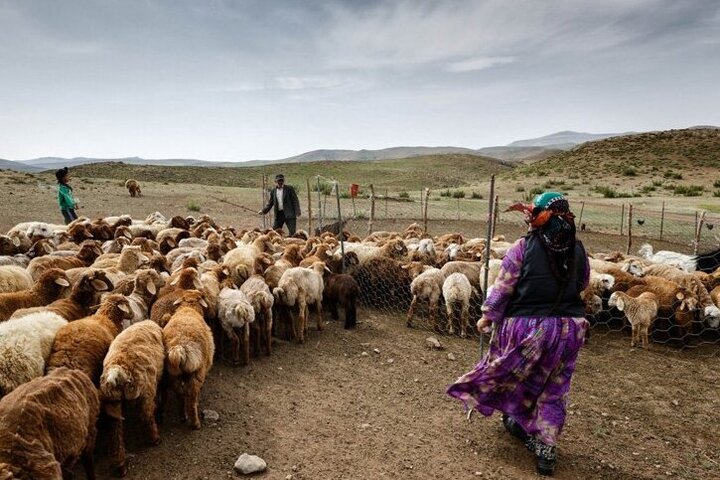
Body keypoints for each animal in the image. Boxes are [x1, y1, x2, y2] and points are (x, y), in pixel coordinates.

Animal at [100, 318, 165, 476]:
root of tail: (116, 372)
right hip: (145, 391)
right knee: (146, 416)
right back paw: (154, 439)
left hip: (113, 401)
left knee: (114, 430)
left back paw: (119, 465)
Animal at [164, 290, 215, 430]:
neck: (188, 308)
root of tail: (178, 348)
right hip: (196, 372)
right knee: (192, 397)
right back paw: (195, 423)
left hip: (174, 375)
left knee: (180, 396)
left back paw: (183, 416)